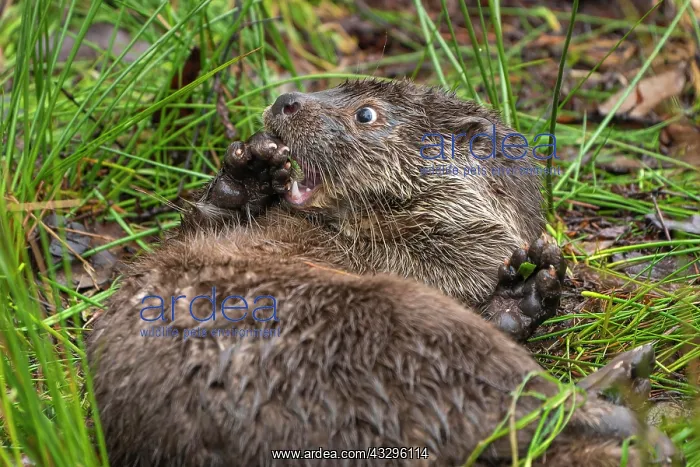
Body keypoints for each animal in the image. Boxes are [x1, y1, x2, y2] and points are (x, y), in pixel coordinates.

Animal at [87, 79, 679, 466]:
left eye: (366, 115)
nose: (286, 99)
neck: (363, 251)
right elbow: (205, 222)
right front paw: (249, 168)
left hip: (416, 318)